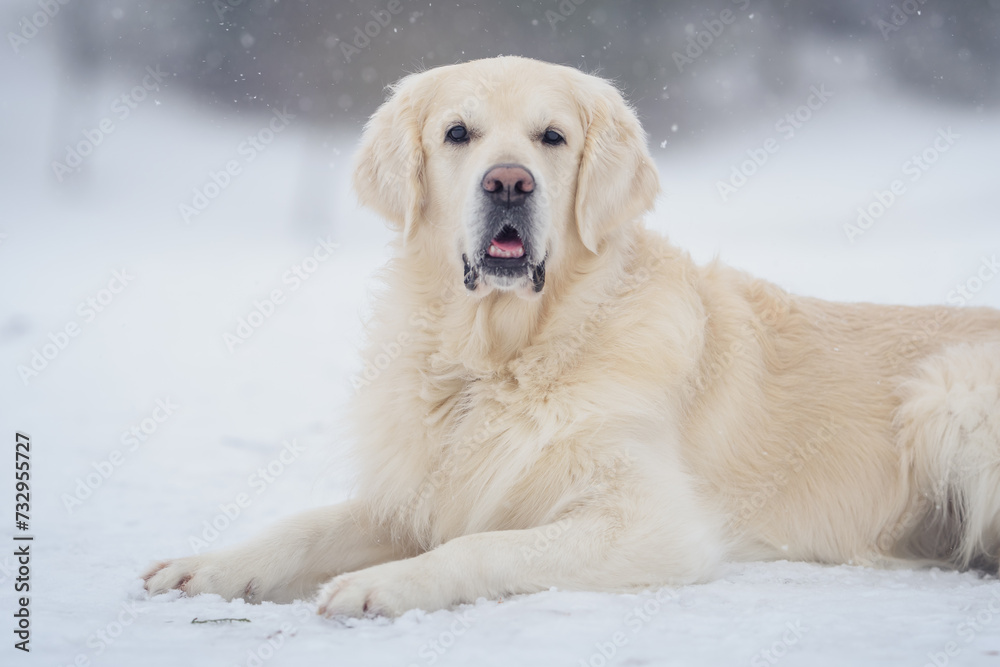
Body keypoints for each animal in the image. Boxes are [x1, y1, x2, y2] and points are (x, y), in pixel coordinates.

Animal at [145, 54, 1000, 620]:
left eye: (551, 137)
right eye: (458, 133)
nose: (509, 183)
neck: (503, 356)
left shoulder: (653, 522)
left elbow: (485, 545)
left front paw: (385, 583)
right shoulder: (421, 488)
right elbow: (306, 524)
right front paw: (210, 564)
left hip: (950, 390)